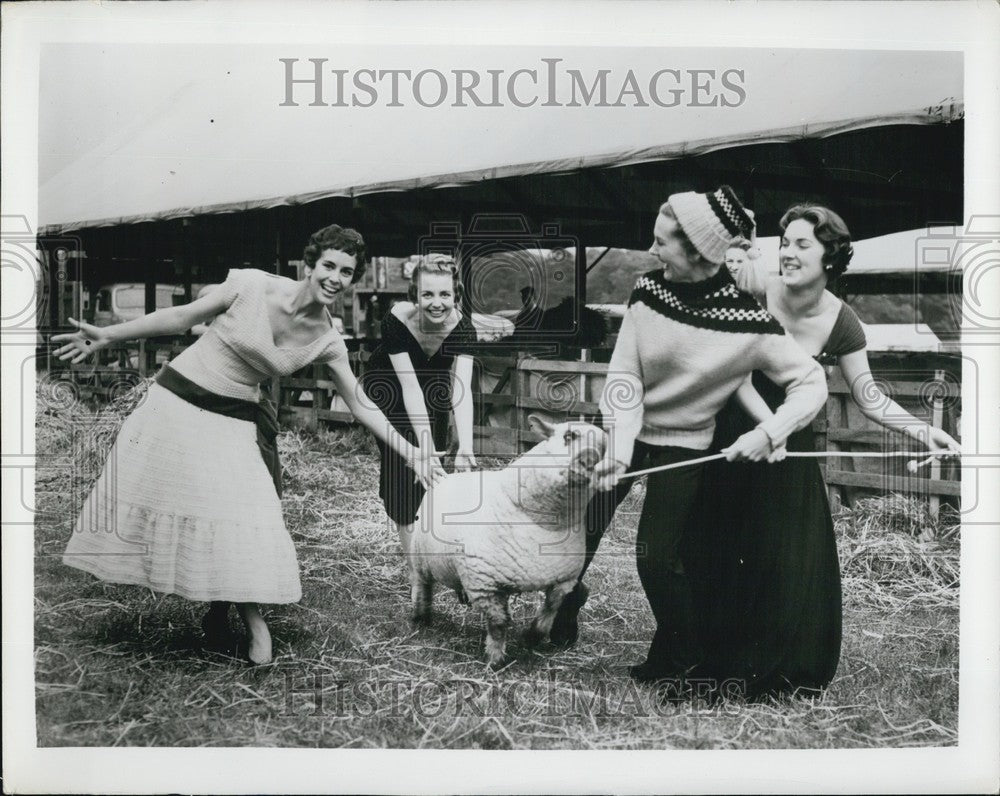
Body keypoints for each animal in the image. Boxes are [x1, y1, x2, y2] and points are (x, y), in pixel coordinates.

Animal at [396, 414, 600, 668]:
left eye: (606, 446)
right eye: (569, 436)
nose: (590, 460)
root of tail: (449, 476)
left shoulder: (563, 581)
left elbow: (550, 611)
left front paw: (531, 638)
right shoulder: (484, 583)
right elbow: (499, 623)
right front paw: (495, 660)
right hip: (421, 557)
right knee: (422, 585)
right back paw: (420, 618)